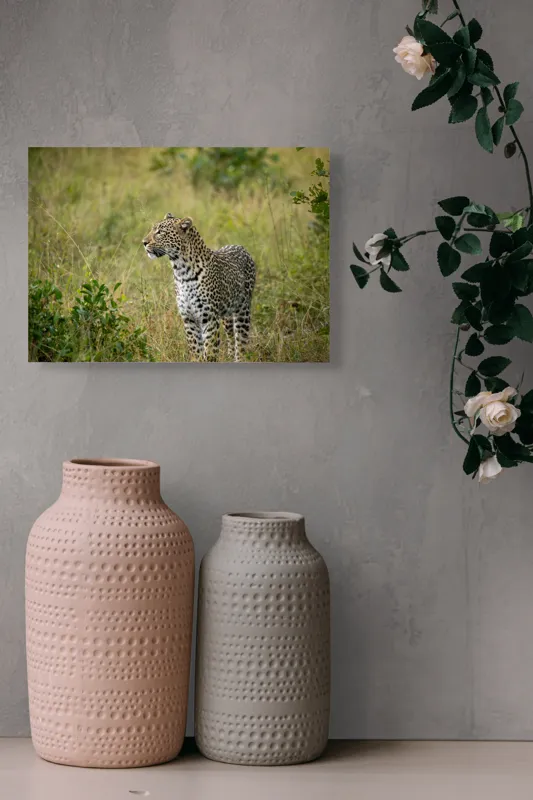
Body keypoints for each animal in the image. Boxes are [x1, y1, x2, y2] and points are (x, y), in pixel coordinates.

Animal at [142, 213, 256, 362]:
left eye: (160, 232)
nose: (143, 242)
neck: (181, 271)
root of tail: (241, 247)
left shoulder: (209, 318)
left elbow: (210, 351)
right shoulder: (189, 319)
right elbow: (196, 350)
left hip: (242, 310)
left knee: (241, 342)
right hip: (226, 315)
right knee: (231, 337)